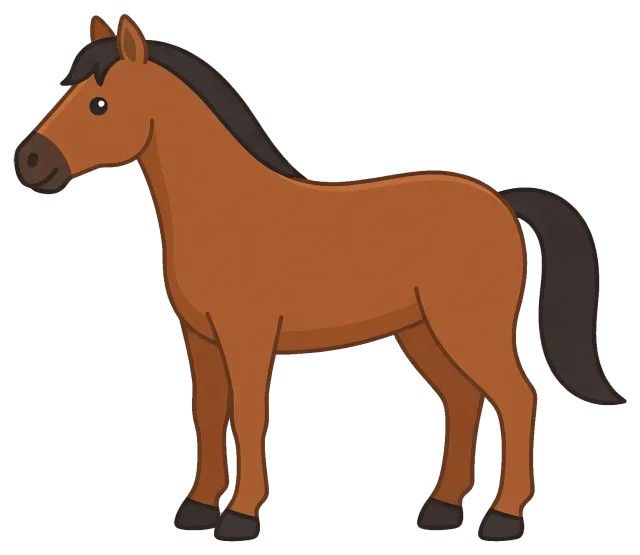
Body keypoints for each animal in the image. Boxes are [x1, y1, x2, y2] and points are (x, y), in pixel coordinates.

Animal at [14, 14, 623, 543]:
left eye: (99, 103)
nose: (30, 162)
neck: (226, 207)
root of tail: (500, 200)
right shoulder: (203, 340)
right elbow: (207, 415)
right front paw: (197, 510)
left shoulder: (248, 338)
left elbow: (247, 418)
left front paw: (239, 517)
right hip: (423, 332)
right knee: (463, 399)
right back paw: (441, 510)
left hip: (468, 330)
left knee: (517, 399)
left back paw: (503, 519)